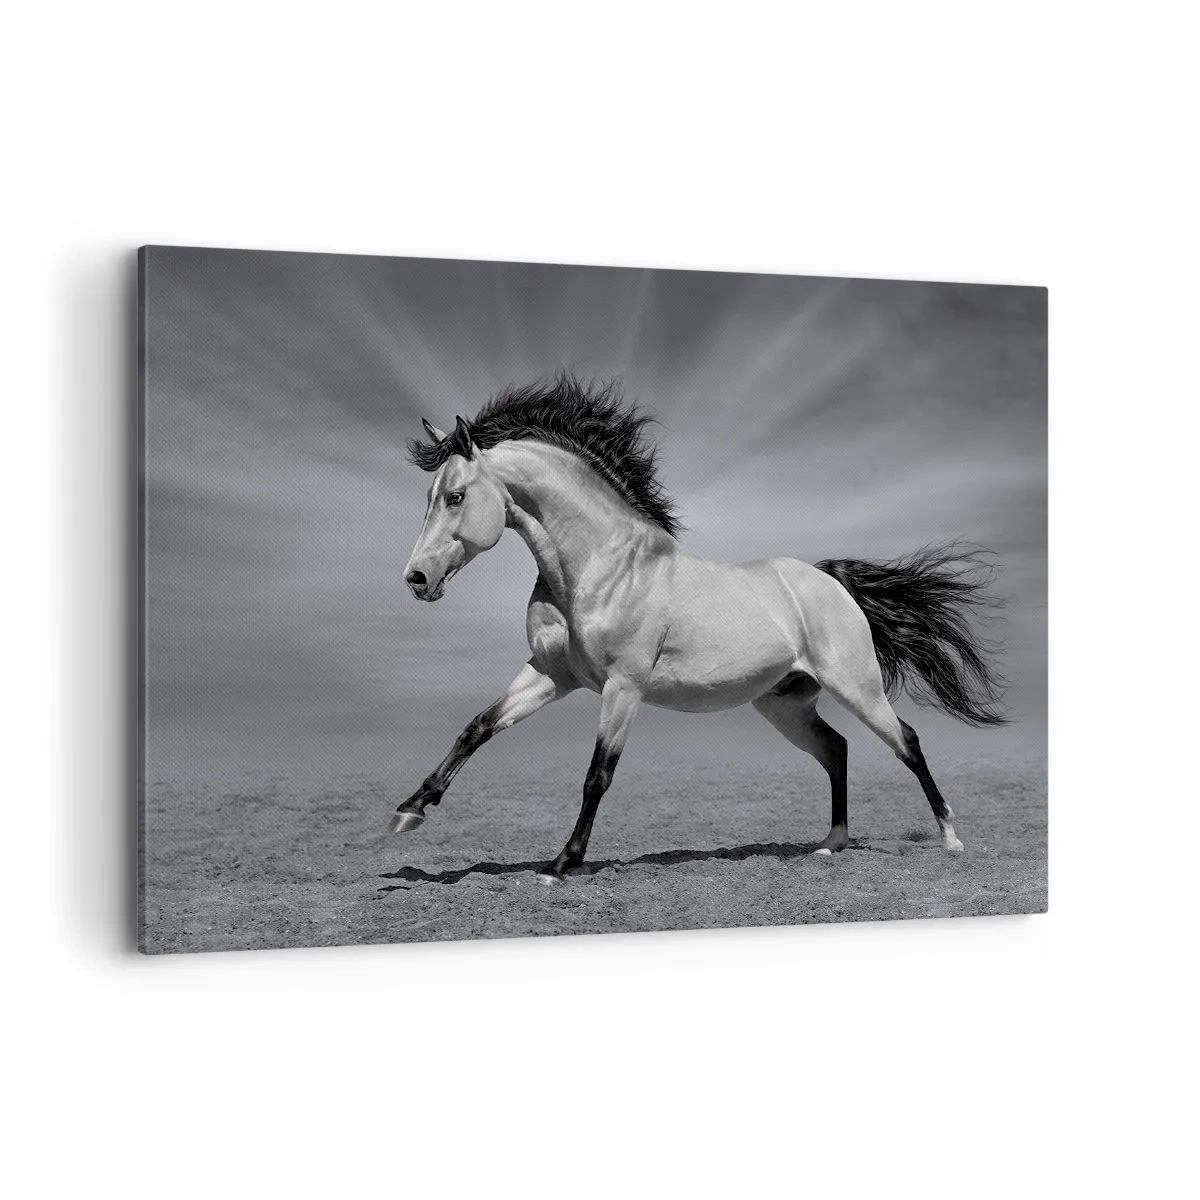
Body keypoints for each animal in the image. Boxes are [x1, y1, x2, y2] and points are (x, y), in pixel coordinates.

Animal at [391, 374, 1006, 884]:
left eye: (456, 496)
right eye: (430, 496)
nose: (416, 579)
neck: (600, 567)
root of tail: (828, 580)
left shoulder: (622, 688)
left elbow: (597, 774)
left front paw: (562, 863)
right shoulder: (550, 675)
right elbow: (477, 727)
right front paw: (409, 810)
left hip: (857, 687)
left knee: (907, 742)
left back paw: (950, 839)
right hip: (785, 704)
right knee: (837, 749)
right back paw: (831, 843)